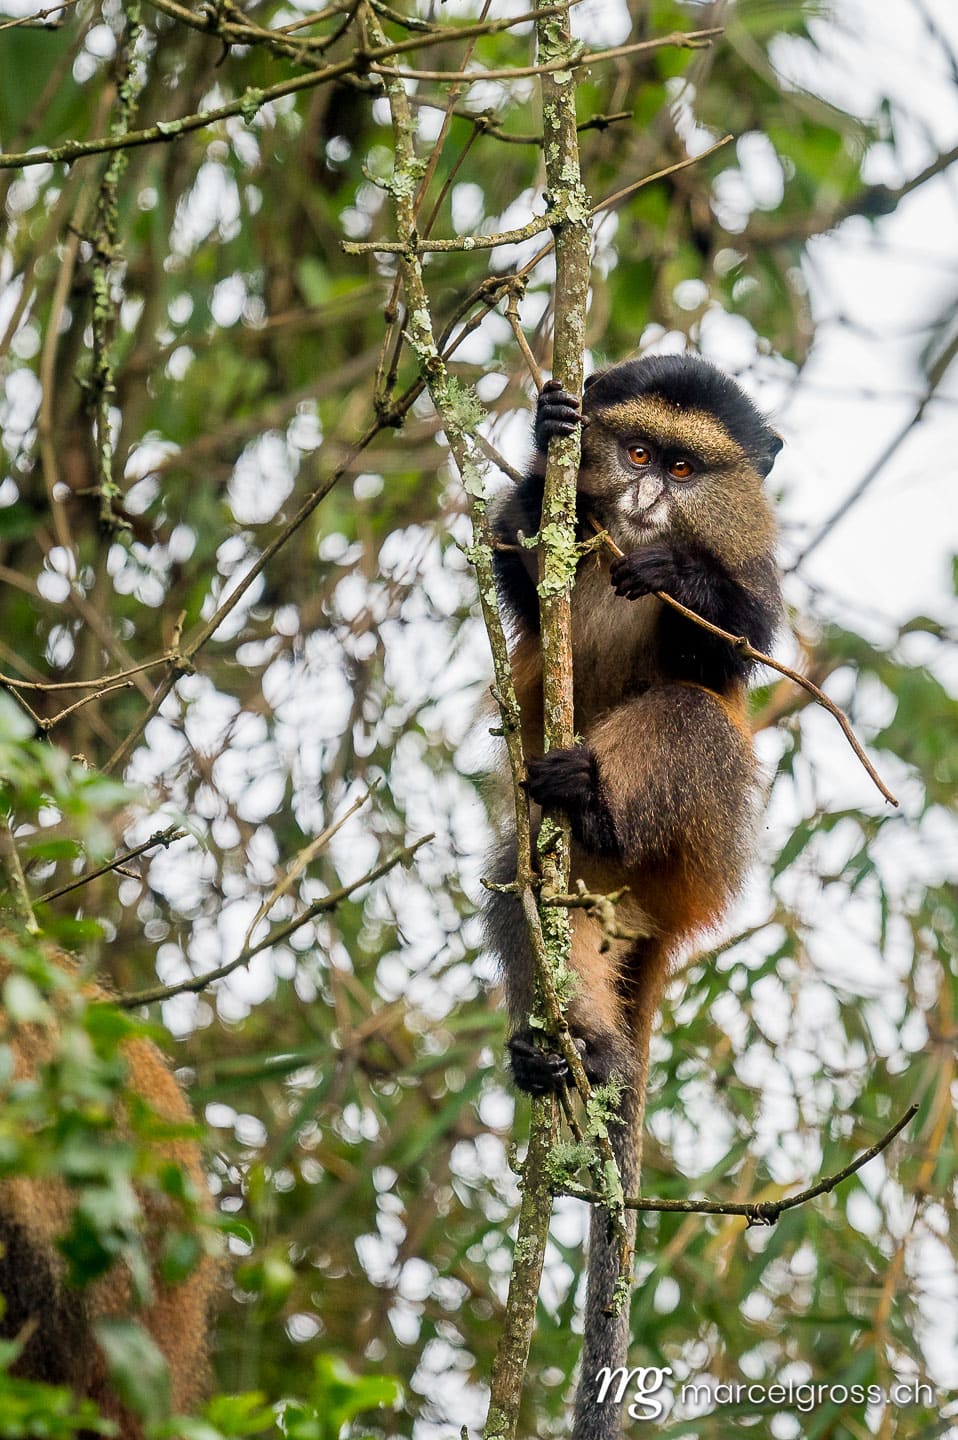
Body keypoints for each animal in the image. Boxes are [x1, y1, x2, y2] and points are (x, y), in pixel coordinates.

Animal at [484, 353, 782, 1440]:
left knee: (691, 714)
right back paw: (572, 1048)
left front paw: (679, 577)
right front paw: (547, 445)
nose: (650, 501)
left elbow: (736, 648)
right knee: (522, 884)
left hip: (702, 833)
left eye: (688, 471)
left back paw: (592, 794)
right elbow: (520, 576)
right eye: (641, 453)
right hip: (583, 889)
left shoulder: (753, 573)